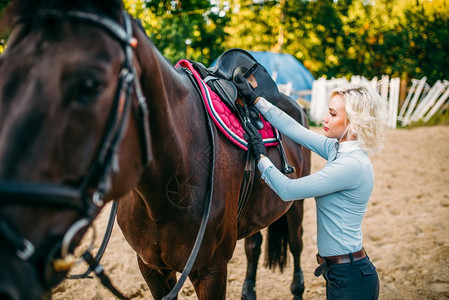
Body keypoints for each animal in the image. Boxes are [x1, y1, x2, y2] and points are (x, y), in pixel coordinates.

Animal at [0, 1, 308, 298]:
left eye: (91, 85)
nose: (12, 265)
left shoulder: (211, 271)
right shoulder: (151, 268)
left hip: (295, 206)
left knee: (296, 246)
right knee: (253, 245)